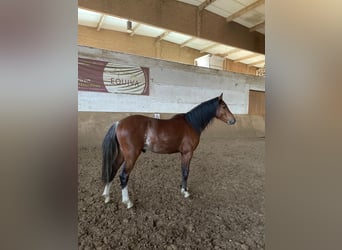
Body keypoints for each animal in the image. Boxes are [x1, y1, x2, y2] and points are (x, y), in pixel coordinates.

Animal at [101, 93, 235, 208]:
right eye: (224, 106)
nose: (233, 120)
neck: (191, 123)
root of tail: (119, 123)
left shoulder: (183, 154)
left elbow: (183, 170)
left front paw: (183, 188)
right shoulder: (188, 153)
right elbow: (186, 172)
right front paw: (185, 192)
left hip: (122, 155)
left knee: (112, 169)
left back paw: (107, 196)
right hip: (131, 156)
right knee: (123, 176)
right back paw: (127, 202)